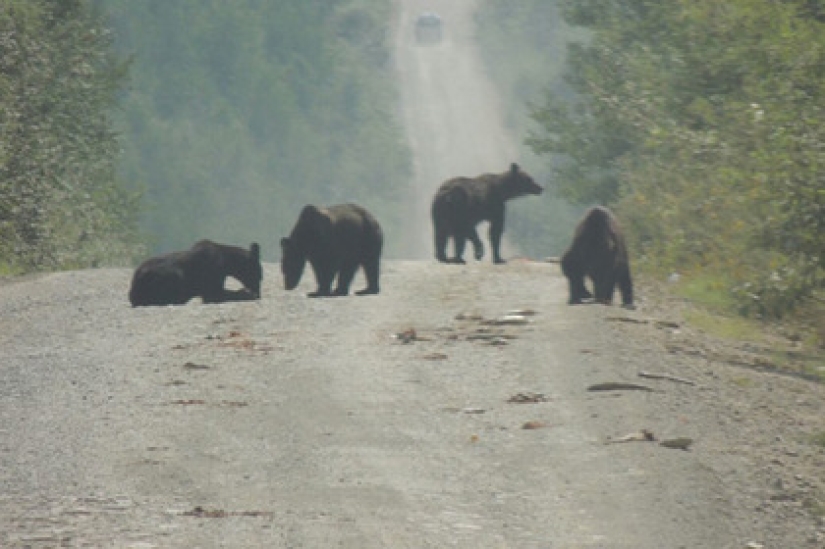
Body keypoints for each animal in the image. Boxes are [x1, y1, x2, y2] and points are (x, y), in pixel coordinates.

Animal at [129, 240, 260, 306]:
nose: (259, 294)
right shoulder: (211, 289)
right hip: (173, 277)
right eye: (259, 276)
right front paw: (247, 294)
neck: (228, 265)